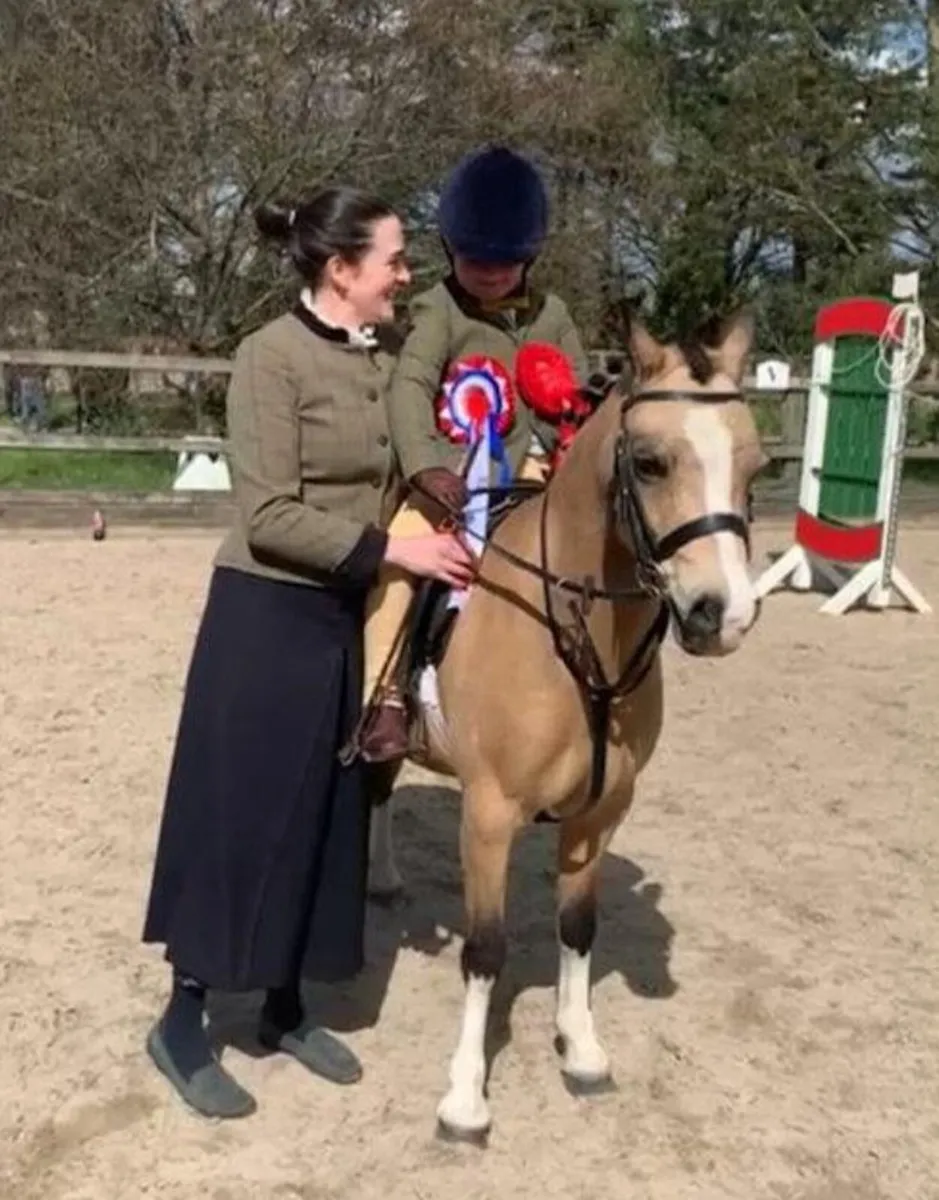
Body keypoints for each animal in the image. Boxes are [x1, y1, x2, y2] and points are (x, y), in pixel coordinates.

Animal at [364, 307, 768, 1144]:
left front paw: (580, 1048)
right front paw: (464, 1097)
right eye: (648, 462)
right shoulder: (488, 816)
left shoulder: (600, 811)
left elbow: (577, 928)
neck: (574, 637)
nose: (722, 615)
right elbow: (485, 950)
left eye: (755, 467)